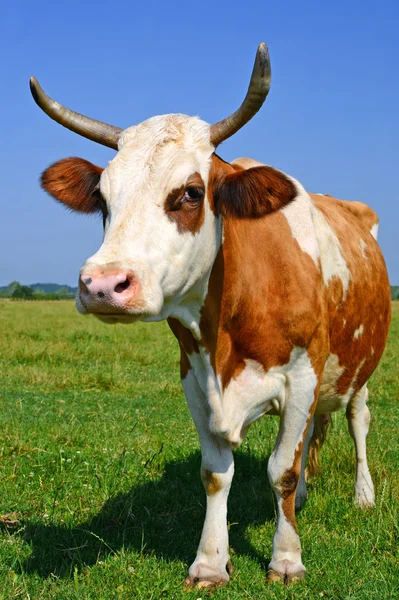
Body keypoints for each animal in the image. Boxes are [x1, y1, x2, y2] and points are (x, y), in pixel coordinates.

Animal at [30, 44, 390, 588]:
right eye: (102, 199)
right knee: (309, 438)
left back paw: (363, 496)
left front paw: (287, 558)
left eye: (190, 193)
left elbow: (281, 470)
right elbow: (217, 474)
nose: (103, 285)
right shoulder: (194, 379)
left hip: (360, 366)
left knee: (357, 420)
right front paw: (210, 561)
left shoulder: (303, 373)